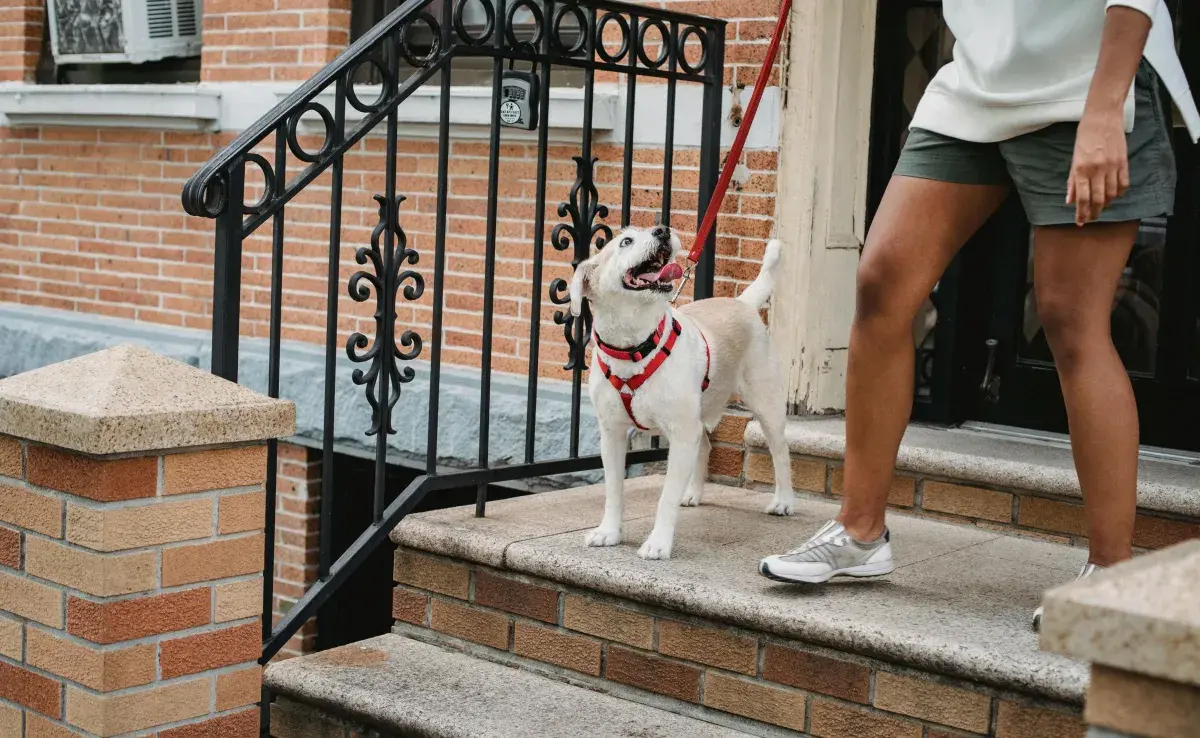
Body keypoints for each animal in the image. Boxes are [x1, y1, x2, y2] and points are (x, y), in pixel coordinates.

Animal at [566, 225, 792, 559]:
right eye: (626, 241)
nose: (662, 230)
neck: (636, 346)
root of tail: (742, 302)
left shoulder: (682, 432)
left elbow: (666, 497)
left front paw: (658, 543)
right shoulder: (613, 435)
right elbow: (613, 491)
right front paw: (609, 532)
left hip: (767, 405)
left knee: (780, 452)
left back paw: (784, 501)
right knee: (706, 446)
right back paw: (692, 493)